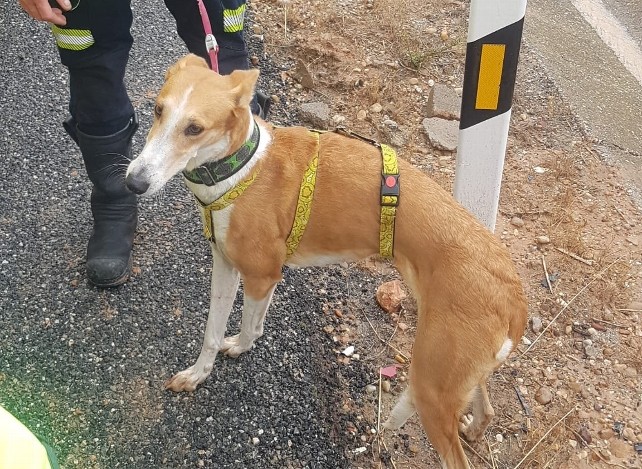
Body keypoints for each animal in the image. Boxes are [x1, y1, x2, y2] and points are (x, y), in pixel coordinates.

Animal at [124, 53, 524, 466]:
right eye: (157, 109)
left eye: (194, 128)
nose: (133, 183)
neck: (239, 167)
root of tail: (514, 293)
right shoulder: (224, 264)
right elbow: (211, 332)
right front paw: (197, 374)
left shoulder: (262, 275)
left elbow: (250, 329)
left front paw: (238, 347)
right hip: (453, 371)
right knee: (487, 408)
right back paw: (475, 428)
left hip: (432, 386)